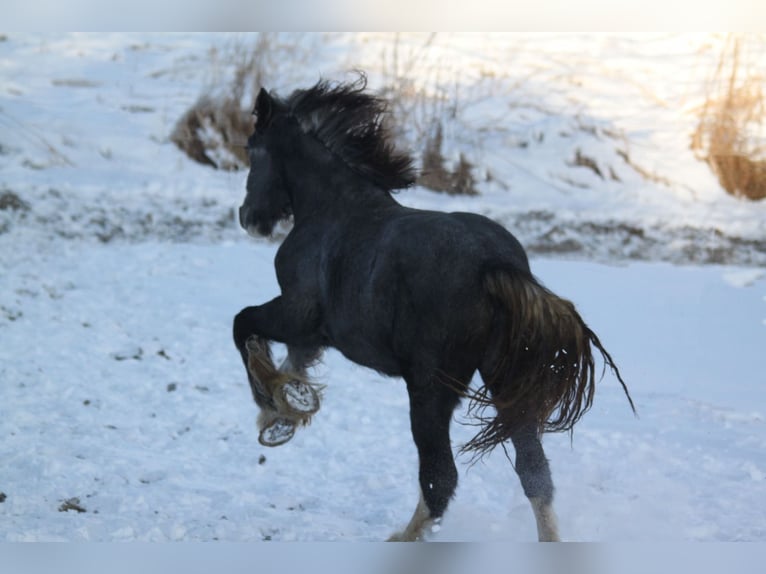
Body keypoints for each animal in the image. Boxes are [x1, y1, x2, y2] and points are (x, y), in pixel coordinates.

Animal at [232, 77, 636, 544]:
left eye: (252, 149)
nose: (248, 217)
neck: (332, 209)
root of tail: (492, 265)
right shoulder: (312, 334)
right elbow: (288, 358)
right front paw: (285, 414)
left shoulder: (296, 312)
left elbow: (244, 327)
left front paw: (281, 405)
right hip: (505, 384)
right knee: (533, 472)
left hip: (429, 390)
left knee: (440, 477)